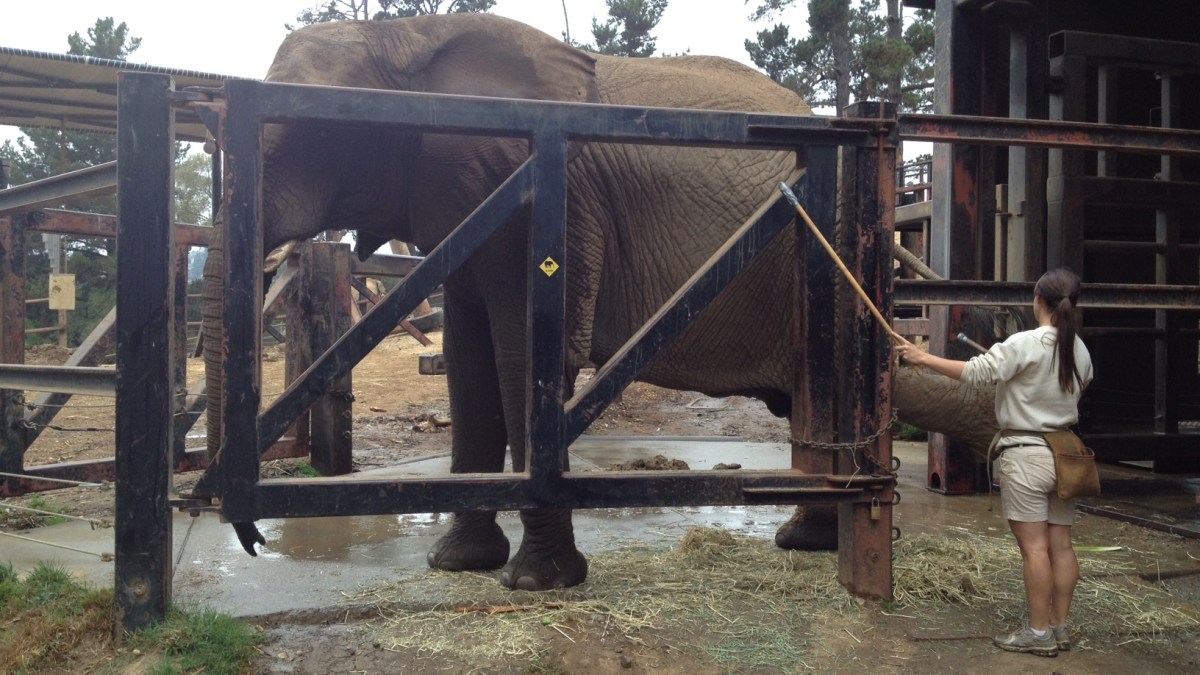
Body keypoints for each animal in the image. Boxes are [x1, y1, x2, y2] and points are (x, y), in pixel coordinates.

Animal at [203, 13, 998, 589]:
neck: (408, 35)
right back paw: (807, 543)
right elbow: (469, 366)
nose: (252, 539)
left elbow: (526, 354)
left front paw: (535, 585)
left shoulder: (546, 199)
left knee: (825, 386)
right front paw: (457, 567)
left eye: (306, 130)